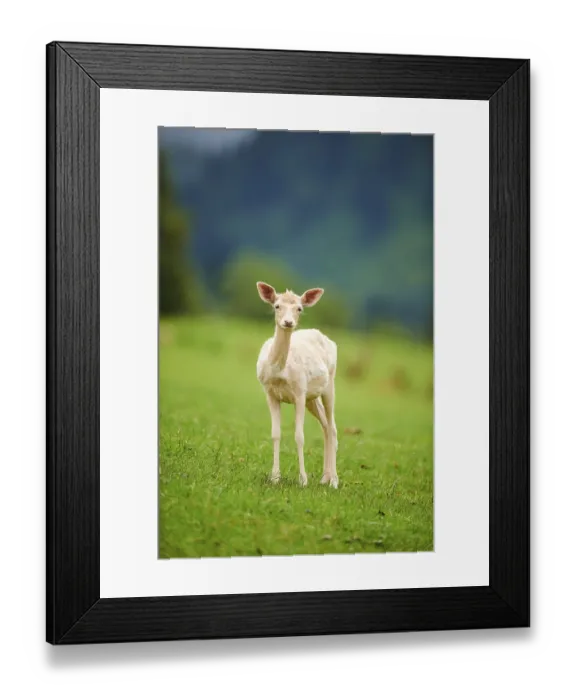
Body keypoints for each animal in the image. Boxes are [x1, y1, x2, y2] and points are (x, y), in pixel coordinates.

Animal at [256, 281, 339, 488]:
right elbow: (275, 433)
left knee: (333, 427)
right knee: (326, 427)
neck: (279, 371)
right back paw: (324, 477)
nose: (288, 322)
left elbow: (299, 436)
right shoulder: (269, 393)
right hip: (312, 397)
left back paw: (334, 480)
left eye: (299, 308)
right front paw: (275, 477)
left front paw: (303, 479)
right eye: (276, 305)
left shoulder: (299, 393)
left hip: (330, 384)